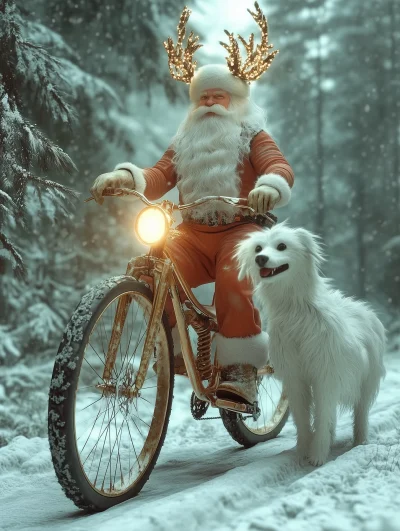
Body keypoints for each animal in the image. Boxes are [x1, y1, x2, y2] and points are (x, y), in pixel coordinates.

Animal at [236, 223, 386, 466]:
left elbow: (323, 415)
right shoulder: (295, 379)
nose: (260, 259)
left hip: (366, 381)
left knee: (360, 412)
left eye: (282, 246)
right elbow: (303, 418)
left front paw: (318, 455)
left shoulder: (325, 376)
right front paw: (303, 451)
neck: (295, 310)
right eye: (258, 248)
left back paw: (360, 441)